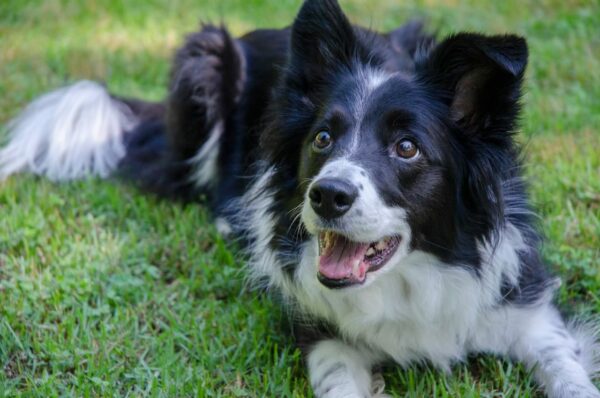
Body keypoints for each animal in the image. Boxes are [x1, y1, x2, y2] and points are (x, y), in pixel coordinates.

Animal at [1, 1, 600, 396]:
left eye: (407, 147)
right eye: (322, 139)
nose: (328, 195)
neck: (414, 278)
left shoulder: (527, 307)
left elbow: (566, 368)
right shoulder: (323, 333)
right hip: (205, 58)